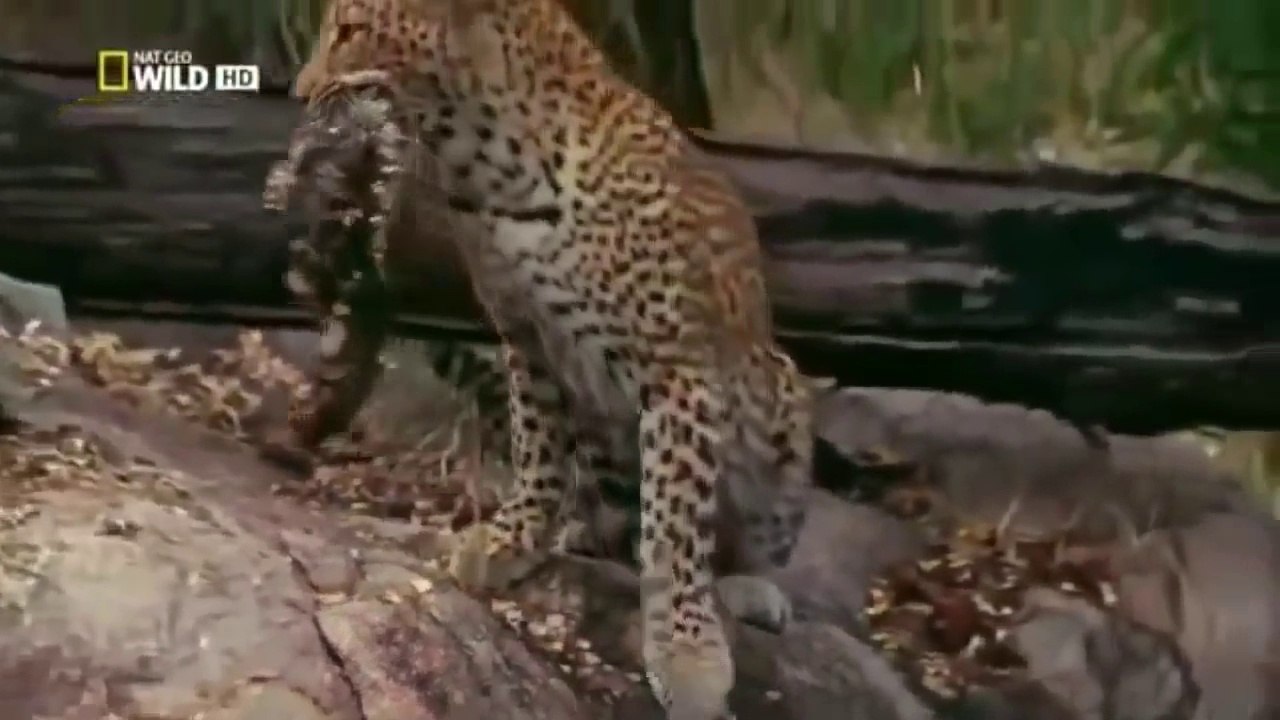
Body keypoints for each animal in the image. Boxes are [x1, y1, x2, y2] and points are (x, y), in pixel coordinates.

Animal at [286, 2, 829, 716]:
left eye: (349, 31)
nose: (299, 93)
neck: (489, 169)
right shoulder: (528, 338)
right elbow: (538, 452)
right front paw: (513, 540)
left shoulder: (675, 368)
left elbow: (677, 527)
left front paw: (687, 654)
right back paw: (584, 532)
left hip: (779, 398)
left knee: (737, 538)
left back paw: (746, 588)